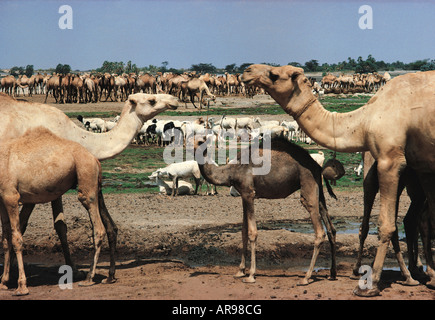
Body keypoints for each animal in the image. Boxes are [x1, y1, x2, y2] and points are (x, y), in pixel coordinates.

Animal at [0, 92, 179, 276]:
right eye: (152, 100)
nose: (174, 100)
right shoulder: (33, 186)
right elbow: (22, 225)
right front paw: (11, 270)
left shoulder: (51, 185)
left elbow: (60, 226)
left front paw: (73, 268)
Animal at [0, 127, 115, 296]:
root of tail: (95, 159)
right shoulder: (2, 198)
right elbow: (6, 239)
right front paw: (3, 282)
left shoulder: (11, 197)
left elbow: (16, 239)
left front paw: (21, 286)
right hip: (94, 184)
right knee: (109, 226)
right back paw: (108, 277)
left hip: (86, 179)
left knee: (98, 228)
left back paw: (89, 278)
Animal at [196, 136, 338, 284]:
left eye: (200, 141)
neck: (232, 171)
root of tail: (318, 167)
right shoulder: (243, 195)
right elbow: (244, 231)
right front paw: (240, 271)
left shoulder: (249, 193)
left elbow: (252, 233)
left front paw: (251, 275)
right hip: (319, 191)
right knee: (331, 229)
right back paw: (332, 273)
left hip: (307, 182)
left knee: (319, 231)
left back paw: (306, 277)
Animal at [242, 63, 435, 296]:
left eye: (274, 74)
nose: (247, 71)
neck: (366, 119)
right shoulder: (423, 166)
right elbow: (428, 220)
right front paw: (431, 276)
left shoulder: (391, 159)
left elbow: (387, 225)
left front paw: (370, 285)